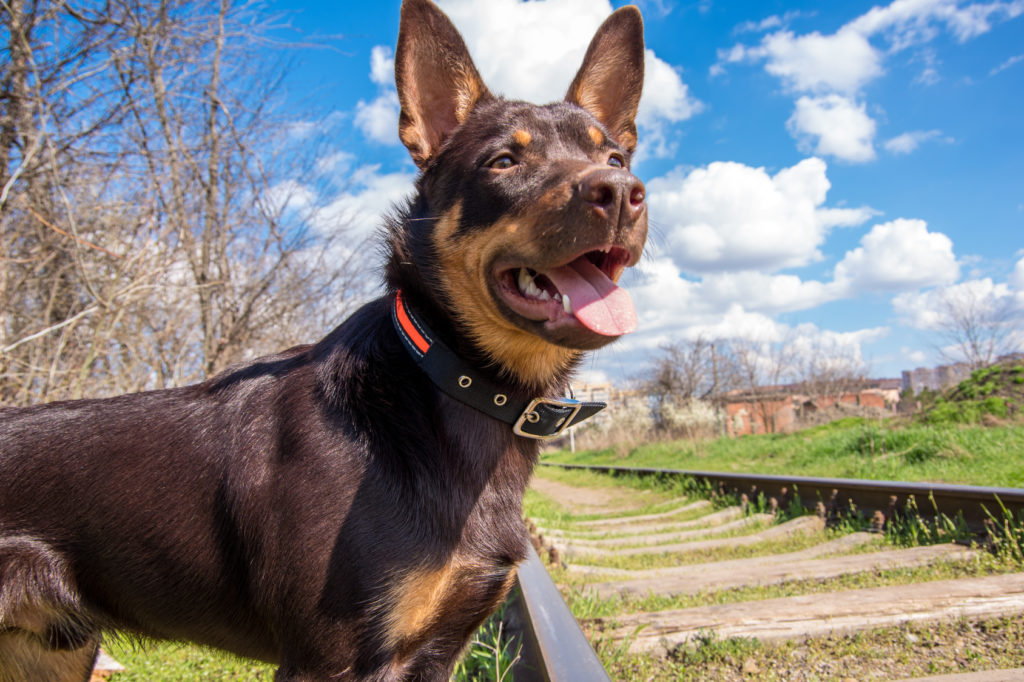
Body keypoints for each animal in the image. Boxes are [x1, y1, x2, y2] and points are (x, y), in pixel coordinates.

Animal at [2, 2, 647, 675]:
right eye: (504, 162)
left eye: (616, 160)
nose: (621, 193)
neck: (447, 379)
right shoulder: (329, 659)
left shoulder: (435, 653)